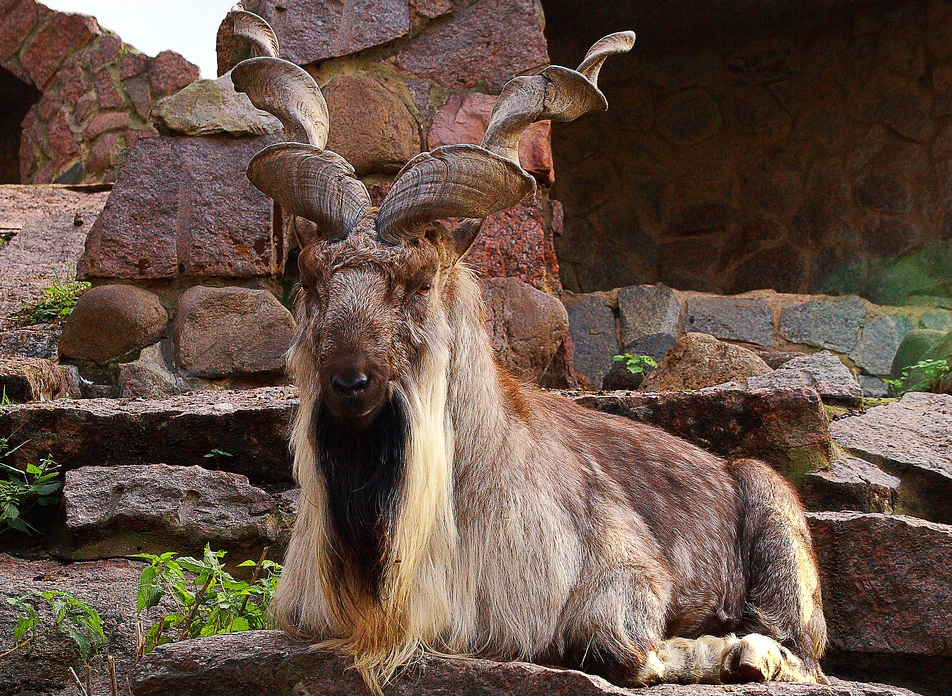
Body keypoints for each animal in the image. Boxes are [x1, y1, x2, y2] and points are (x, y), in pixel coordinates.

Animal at [229, 9, 824, 692]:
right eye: (312, 278)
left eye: (421, 282)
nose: (349, 384)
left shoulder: (626, 575)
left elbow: (620, 649)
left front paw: (715, 649)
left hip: (777, 520)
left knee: (802, 649)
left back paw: (753, 653)